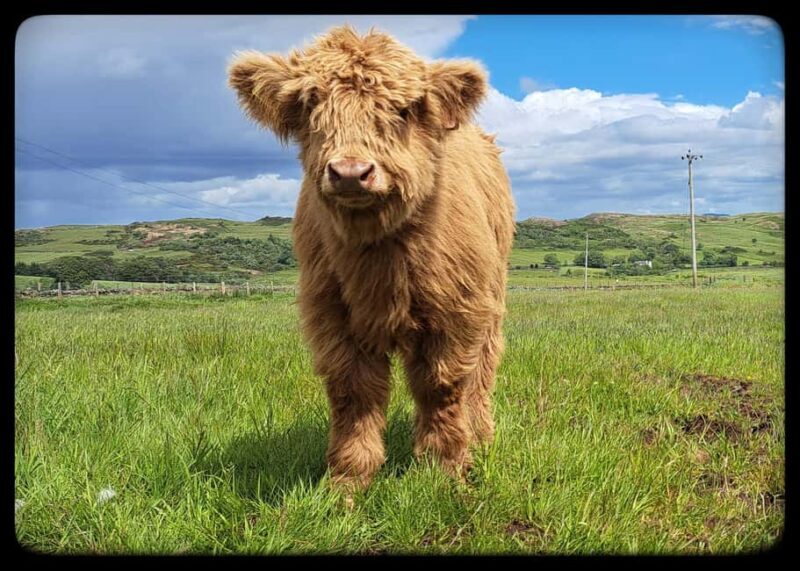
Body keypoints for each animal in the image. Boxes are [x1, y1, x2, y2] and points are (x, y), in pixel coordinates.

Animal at [229, 25, 515, 489]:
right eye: (310, 105)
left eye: (404, 109)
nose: (350, 172)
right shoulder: (332, 316)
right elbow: (353, 393)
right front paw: (347, 482)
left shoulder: (456, 313)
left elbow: (442, 386)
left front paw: (446, 470)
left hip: (492, 299)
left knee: (482, 370)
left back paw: (481, 436)